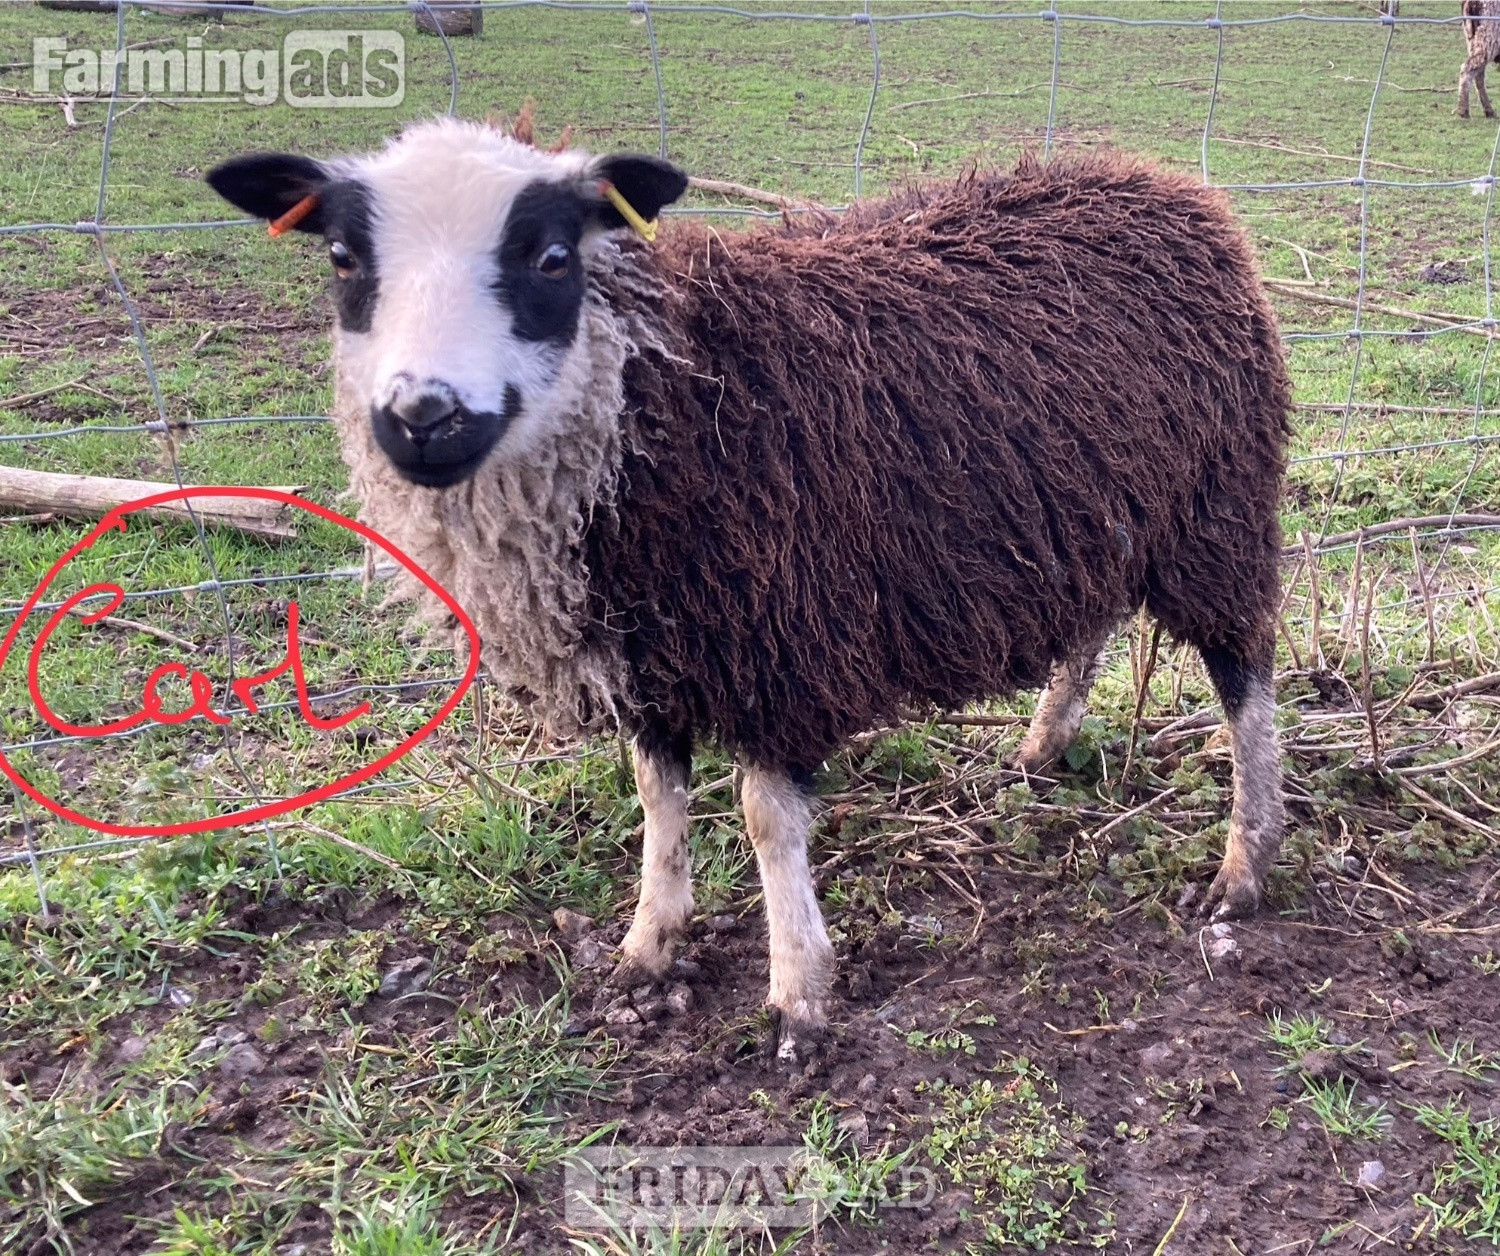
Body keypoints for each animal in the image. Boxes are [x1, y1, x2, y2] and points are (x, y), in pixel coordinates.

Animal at [208, 118, 1292, 1061]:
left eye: (551, 257)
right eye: (343, 257)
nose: (423, 418)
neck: (664, 398)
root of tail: (1167, 187)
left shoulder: (780, 640)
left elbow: (768, 819)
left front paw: (797, 993)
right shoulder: (649, 653)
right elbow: (658, 798)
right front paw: (649, 943)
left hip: (1216, 509)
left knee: (1245, 675)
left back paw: (1243, 863)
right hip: (1095, 515)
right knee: (1093, 621)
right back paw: (1041, 745)